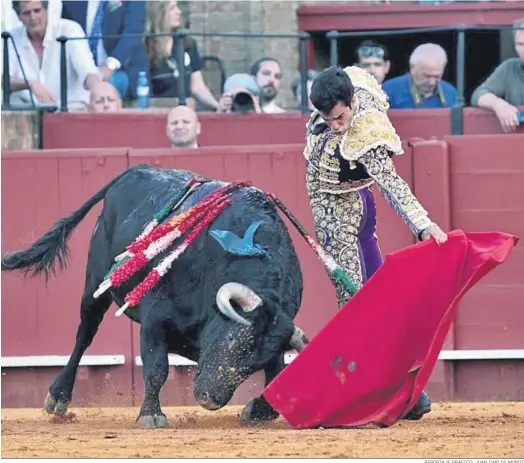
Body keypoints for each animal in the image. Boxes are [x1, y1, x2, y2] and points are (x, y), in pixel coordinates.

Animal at [2, 165, 310, 430]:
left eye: (254, 363)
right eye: (233, 339)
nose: (210, 399)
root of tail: (136, 169)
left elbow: (276, 371)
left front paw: (258, 411)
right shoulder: (155, 319)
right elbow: (157, 366)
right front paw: (150, 415)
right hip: (95, 283)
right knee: (84, 335)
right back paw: (58, 397)